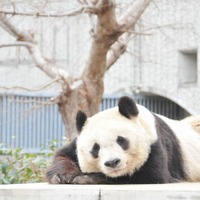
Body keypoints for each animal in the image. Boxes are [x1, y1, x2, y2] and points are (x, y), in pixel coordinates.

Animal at [45, 96, 200, 184]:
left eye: (121, 141)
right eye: (95, 148)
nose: (112, 162)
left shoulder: (155, 142)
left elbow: (151, 175)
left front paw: (85, 178)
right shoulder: (76, 143)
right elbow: (63, 155)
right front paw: (64, 175)